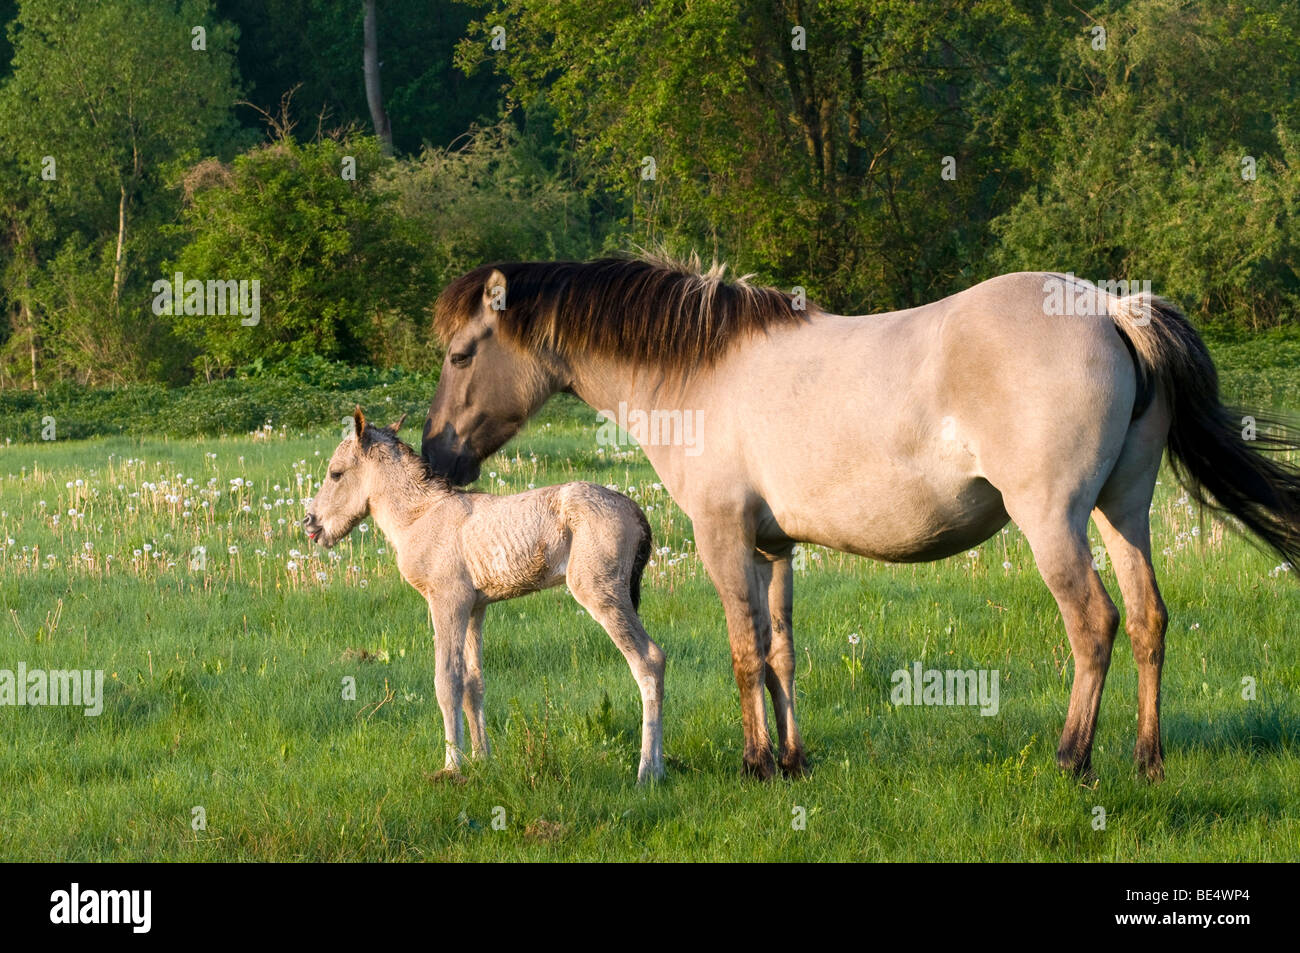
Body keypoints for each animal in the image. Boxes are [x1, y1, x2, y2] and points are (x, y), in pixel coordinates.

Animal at [303, 408, 666, 783]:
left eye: (336, 473)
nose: (310, 523)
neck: (421, 517)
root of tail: (634, 509)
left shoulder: (447, 601)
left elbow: (447, 681)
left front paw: (452, 766)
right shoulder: (475, 607)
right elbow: (472, 683)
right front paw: (482, 759)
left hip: (600, 591)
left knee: (649, 660)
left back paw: (649, 771)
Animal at [420, 256, 1300, 781]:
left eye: (461, 355)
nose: (435, 458)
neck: (696, 373)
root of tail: (1112, 311)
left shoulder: (722, 539)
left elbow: (743, 652)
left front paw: (755, 763)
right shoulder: (774, 549)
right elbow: (781, 653)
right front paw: (793, 759)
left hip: (1055, 522)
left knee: (1095, 623)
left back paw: (1071, 757)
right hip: (1124, 510)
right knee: (1148, 619)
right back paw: (1148, 760)